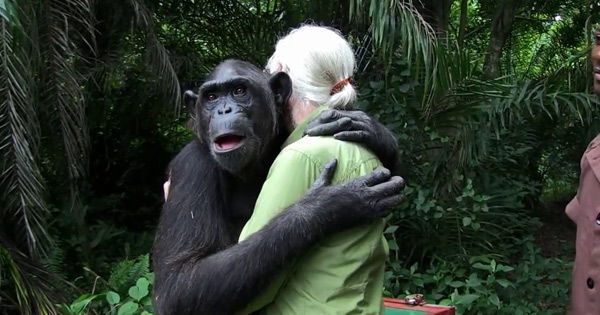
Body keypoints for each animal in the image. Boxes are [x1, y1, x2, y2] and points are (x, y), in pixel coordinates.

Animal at [150, 59, 404, 315]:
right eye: (211, 97)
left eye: (239, 91)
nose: (224, 110)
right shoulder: (192, 167)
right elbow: (178, 282)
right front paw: (329, 205)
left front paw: (370, 130)